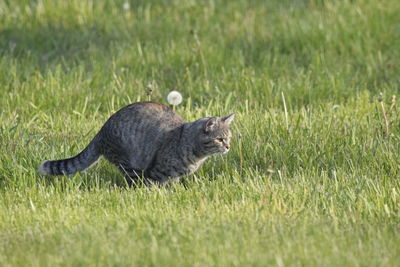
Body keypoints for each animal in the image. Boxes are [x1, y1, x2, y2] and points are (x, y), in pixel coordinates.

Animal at [39, 101, 233, 185]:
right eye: (219, 139)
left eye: (228, 137)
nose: (228, 146)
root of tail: (101, 131)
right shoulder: (156, 172)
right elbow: (156, 186)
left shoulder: (174, 176)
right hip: (128, 162)